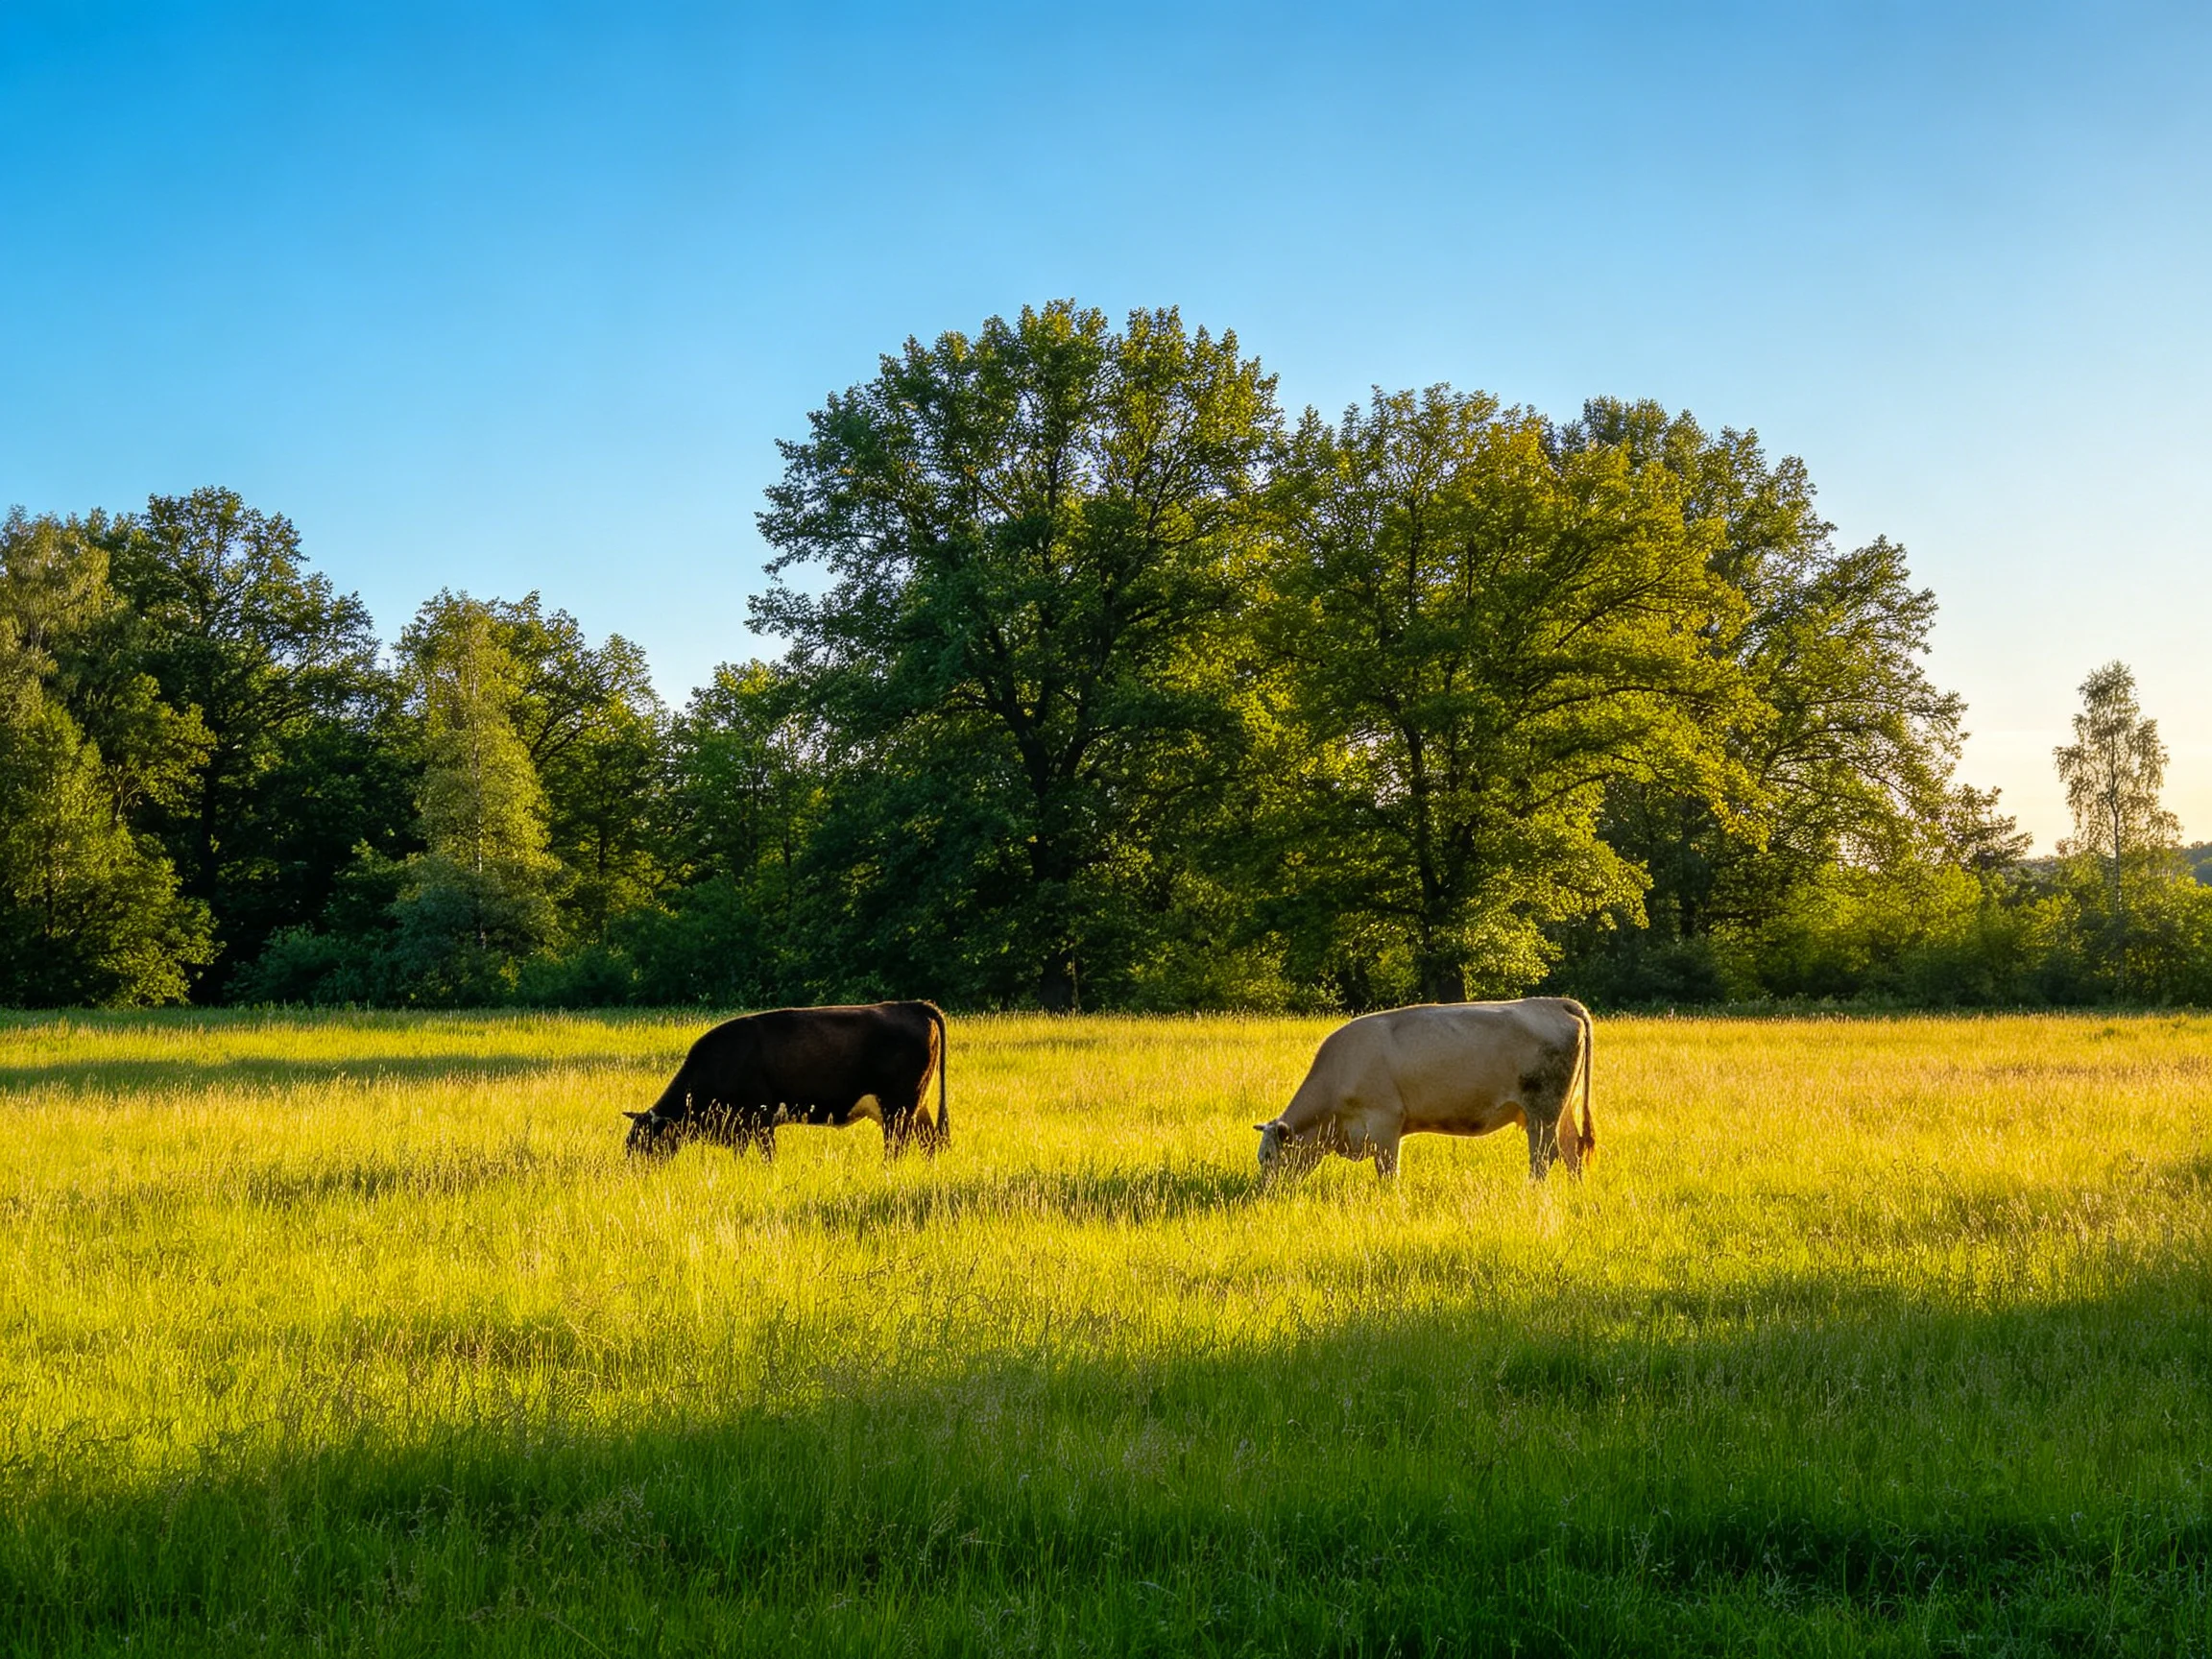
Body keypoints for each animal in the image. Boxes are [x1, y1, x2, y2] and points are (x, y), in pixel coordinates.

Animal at [624, 1001, 948, 1161]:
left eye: (641, 1144)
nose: (634, 1173)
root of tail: (912, 1004)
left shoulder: (759, 1118)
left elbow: (768, 1155)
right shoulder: (742, 1128)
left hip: (899, 1109)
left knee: (897, 1147)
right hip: (917, 1106)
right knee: (929, 1140)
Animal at [1254, 998, 1594, 1182]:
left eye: (1269, 1156)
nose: (1266, 1192)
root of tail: (1553, 1003)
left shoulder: (1385, 1123)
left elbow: (1388, 1171)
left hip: (1542, 1111)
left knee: (1544, 1158)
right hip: (1564, 1108)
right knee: (1572, 1150)